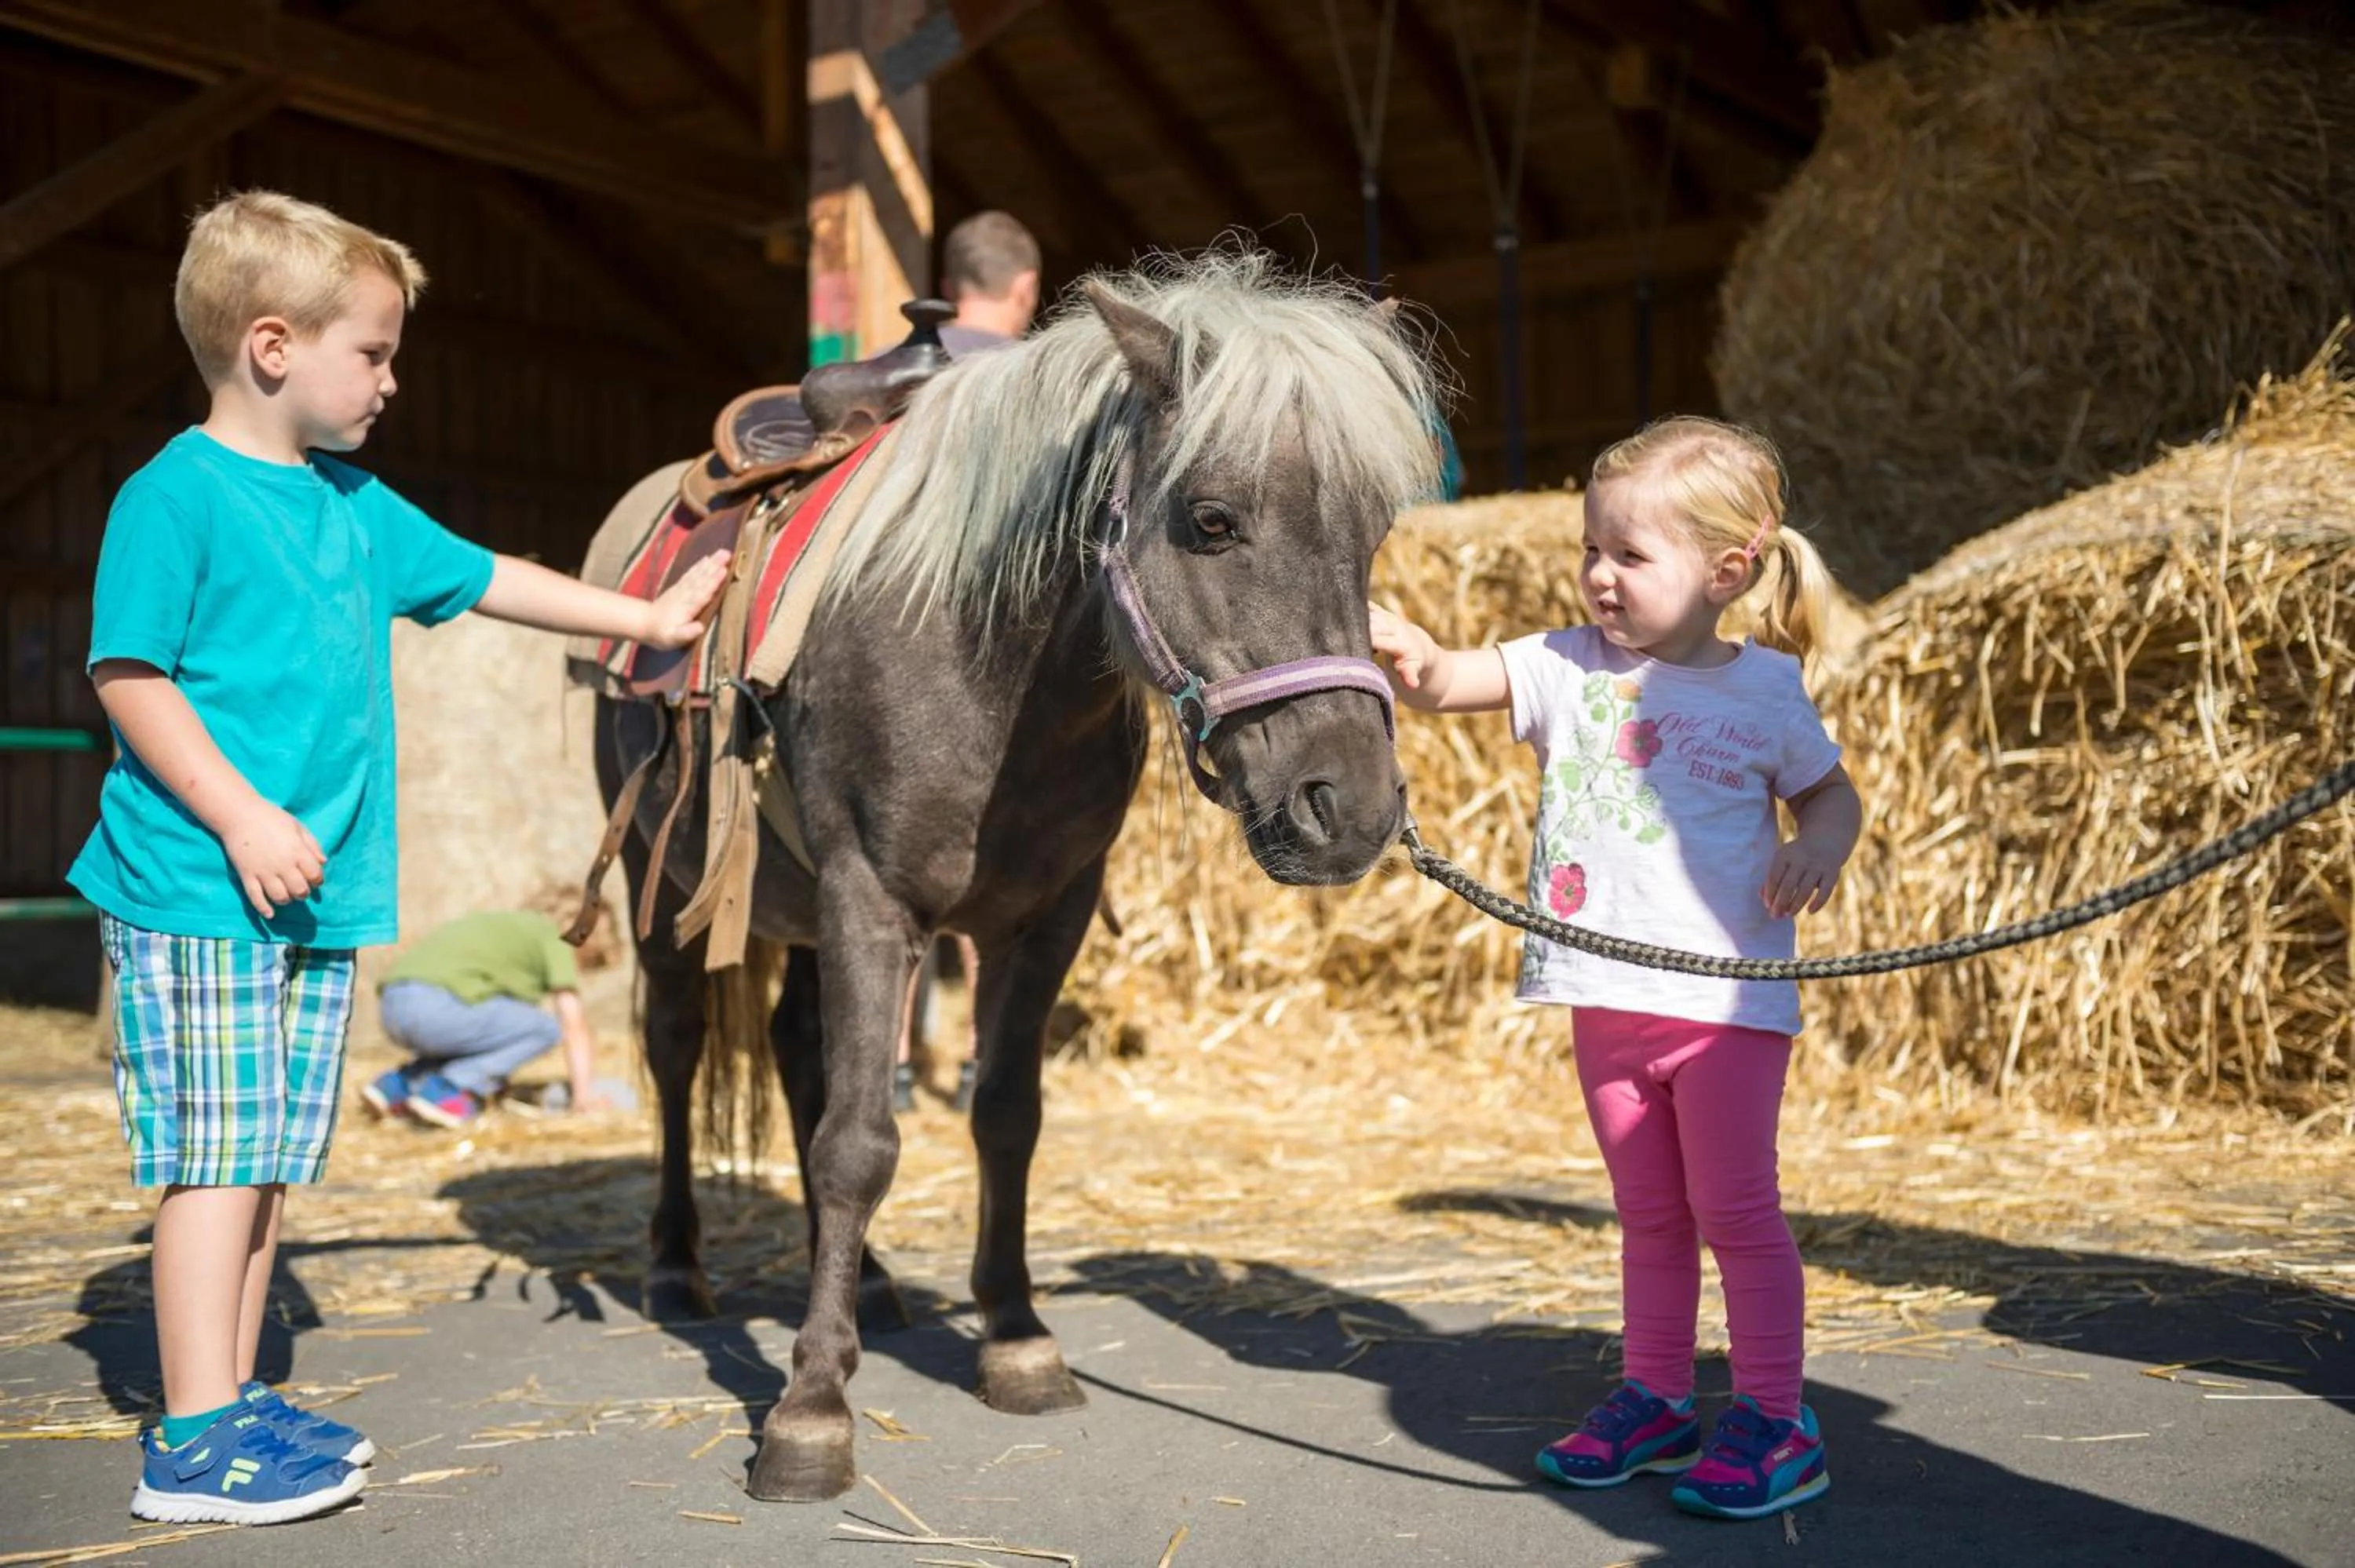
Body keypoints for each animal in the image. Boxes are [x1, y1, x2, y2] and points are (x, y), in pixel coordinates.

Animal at [591, 251, 1444, 1502]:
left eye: (1372, 531)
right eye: (1211, 520)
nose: (1352, 810)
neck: (975, 661)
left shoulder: (1044, 921)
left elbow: (1003, 1115)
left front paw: (1015, 1336)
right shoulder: (870, 904)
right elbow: (859, 1143)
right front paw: (810, 1407)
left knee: (797, 1053)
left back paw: (872, 1283)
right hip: (667, 897)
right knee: (676, 1048)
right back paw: (671, 1268)